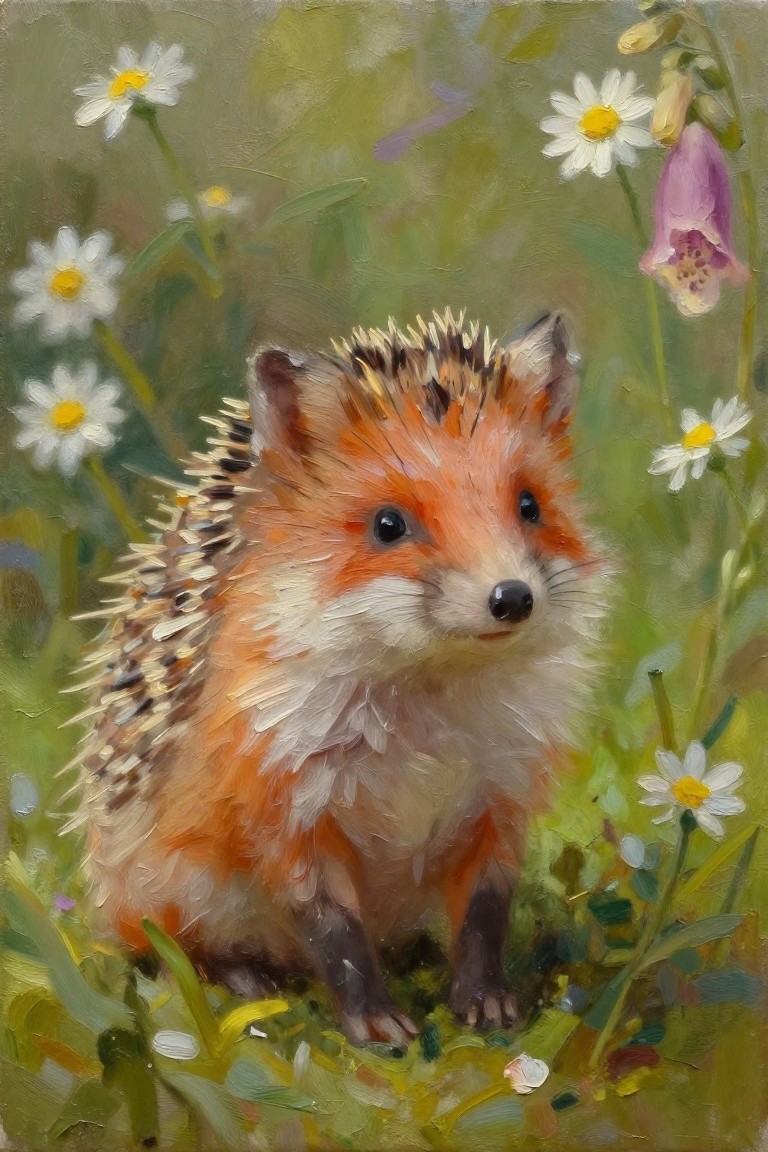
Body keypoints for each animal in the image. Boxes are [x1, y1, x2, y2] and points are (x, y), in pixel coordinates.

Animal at [69, 310, 608, 1045]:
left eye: (529, 505)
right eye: (388, 524)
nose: (511, 597)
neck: (424, 714)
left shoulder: (499, 794)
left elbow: (483, 913)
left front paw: (486, 1001)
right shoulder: (287, 798)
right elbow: (334, 930)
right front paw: (374, 1022)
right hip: (171, 889)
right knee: (172, 947)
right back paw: (244, 977)